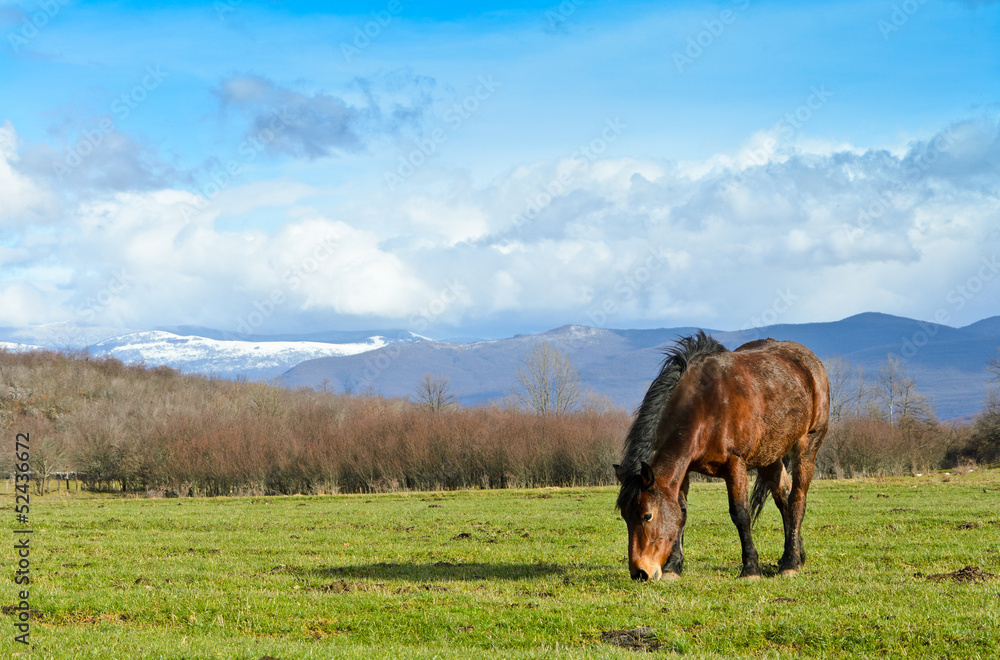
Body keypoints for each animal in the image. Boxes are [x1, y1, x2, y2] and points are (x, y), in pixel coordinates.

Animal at [613, 331, 829, 581]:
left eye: (647, 515)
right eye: (625, 516)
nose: (640, 573)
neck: (704, 405)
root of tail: (811, 362)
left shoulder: (735, 465)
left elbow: (741, 514)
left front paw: (750, 569)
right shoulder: (683, 469)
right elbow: (681, 513)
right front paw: (673, 568)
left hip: (807, 445)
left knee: (796, 500)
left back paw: (791, 564)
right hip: (769, 456)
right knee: (783, 497)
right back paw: (794, 556)